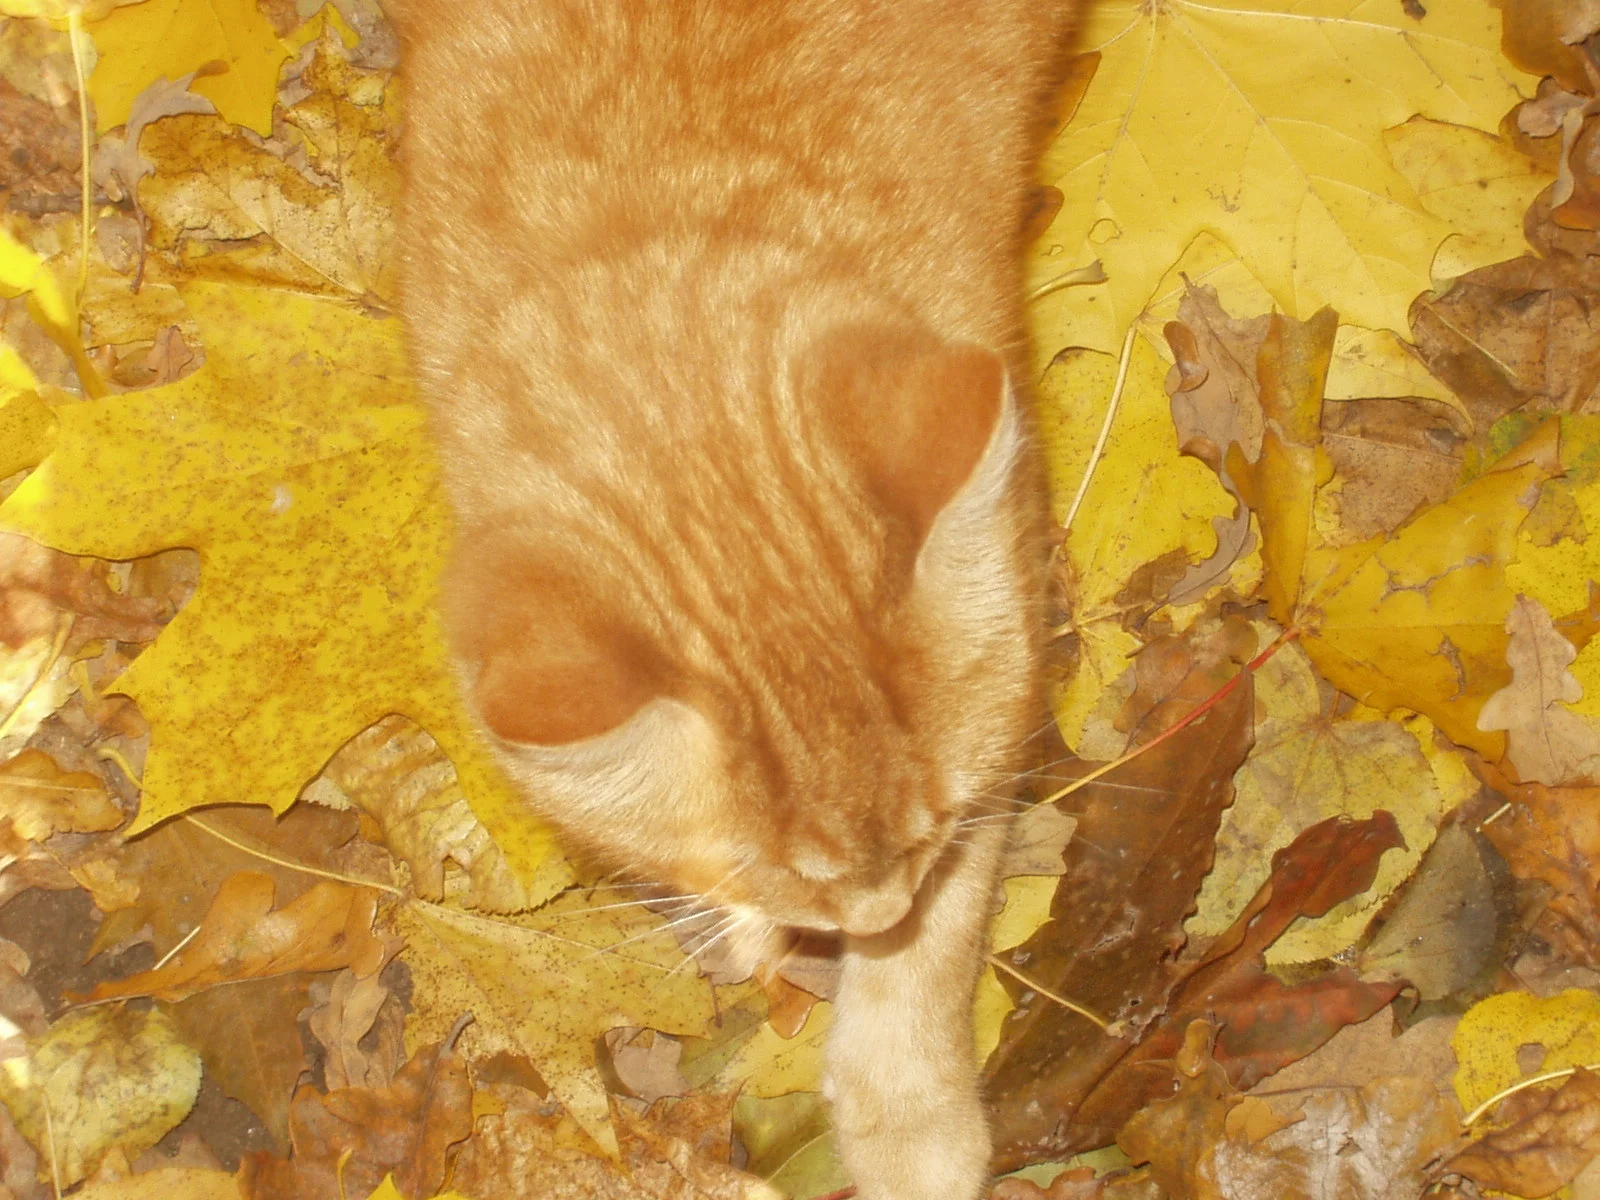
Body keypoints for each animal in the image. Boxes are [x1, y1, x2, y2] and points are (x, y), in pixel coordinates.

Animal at [392, 3, 1072, 1196]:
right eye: (780, 872)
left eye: (933, 829)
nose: (877, 916)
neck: (675, 176)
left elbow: (938, 951)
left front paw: (912, 1115)